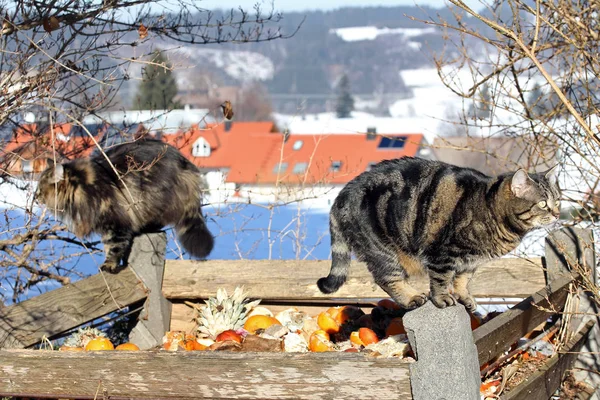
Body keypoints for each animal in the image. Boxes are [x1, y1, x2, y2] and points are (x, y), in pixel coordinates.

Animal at [36, 138, 214, 272]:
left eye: (39, 190)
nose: (35, 197)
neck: (83, 188)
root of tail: (185, 164)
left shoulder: (115, 222)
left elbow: (114, 246)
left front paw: (109, 264)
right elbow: (108, 245)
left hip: (156, 199)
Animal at [316, 158, 560, 310]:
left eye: (558, 200)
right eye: (543, 204)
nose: (558, 213)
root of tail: (343, 194)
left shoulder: (470, 261)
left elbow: (462, 279)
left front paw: (464, 297)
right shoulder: (442, 254)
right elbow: (442, 279)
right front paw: (442, 298)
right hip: (382, 249)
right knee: (387, 278)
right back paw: (412, 297)